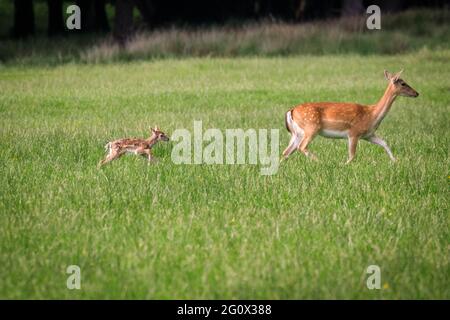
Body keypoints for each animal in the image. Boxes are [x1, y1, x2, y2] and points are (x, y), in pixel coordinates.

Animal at [282, 71, 418, 164]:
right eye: (403, 83)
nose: (417, 93)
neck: (372, 115)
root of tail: (291, 111)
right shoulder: (354, 132)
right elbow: (352, 156)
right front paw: (343, 165)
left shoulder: (368, 135)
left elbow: (384, 143)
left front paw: (395, 161)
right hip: (311, 127)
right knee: (301, 147)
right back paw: (320, 161)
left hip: (297, 133)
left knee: (286, 151)